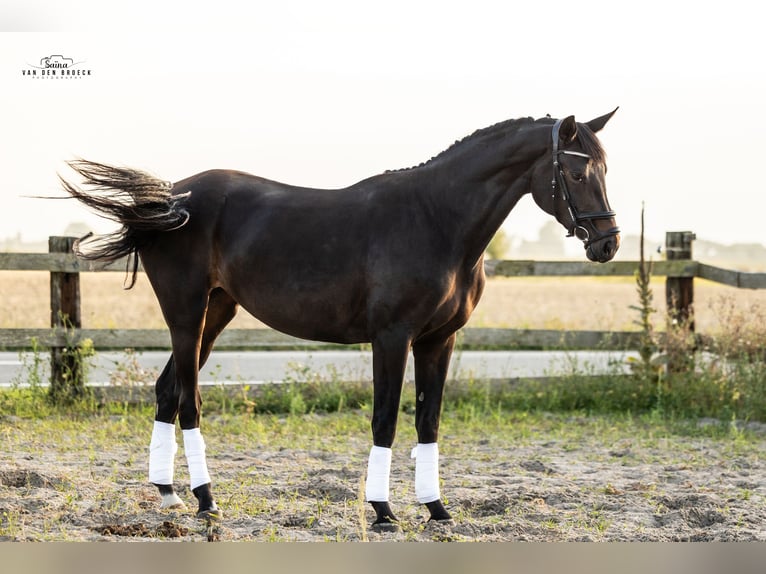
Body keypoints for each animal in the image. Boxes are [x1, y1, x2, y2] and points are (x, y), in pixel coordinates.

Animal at [61, 110, 624, 532]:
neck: (436, 219)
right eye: (577, 173)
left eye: (605, 169)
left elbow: (428, 419)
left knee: (166, 391)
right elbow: (385, 418)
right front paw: (383, 511)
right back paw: (206, 500)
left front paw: (436, 509)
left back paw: (169, 494)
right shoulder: (392, 338)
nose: (607, 244)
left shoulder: (439, 340)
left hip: (216, 311)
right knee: (189, 400)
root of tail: (169, 199)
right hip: (187, 313)